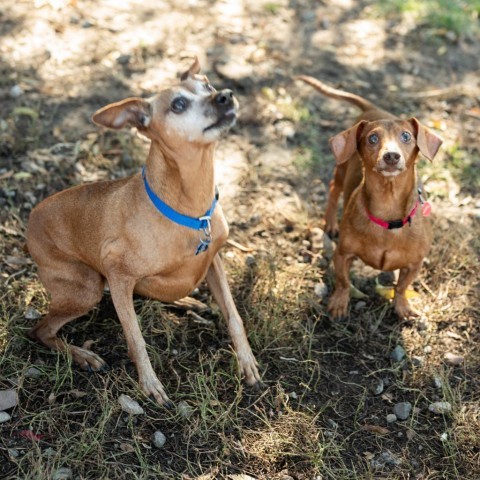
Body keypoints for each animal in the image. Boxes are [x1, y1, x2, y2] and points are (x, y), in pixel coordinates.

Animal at [27, 59, 258, 404]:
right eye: (178, 105)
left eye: (208, 86)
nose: (226, 96)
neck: (190, 208)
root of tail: (30, 218)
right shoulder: (117, 273)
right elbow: (135, 338)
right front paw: (149, 384)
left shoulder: (214, 261)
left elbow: (234, 316)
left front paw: (246, 361)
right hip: (87, 288)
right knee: (40, 331)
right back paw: (82, 355)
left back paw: (187, 302)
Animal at [300, 76, 442, 318]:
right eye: (372, 138)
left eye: (406, 136)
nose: (391, 156)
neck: (388, 214)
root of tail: (373, 109)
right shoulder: (342, 254)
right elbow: (343, 282)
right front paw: (339, 303)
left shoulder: (415, 264)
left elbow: (402, 286)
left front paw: (402, 307)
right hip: (341, 169)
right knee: (333, 189)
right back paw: (331, 223)